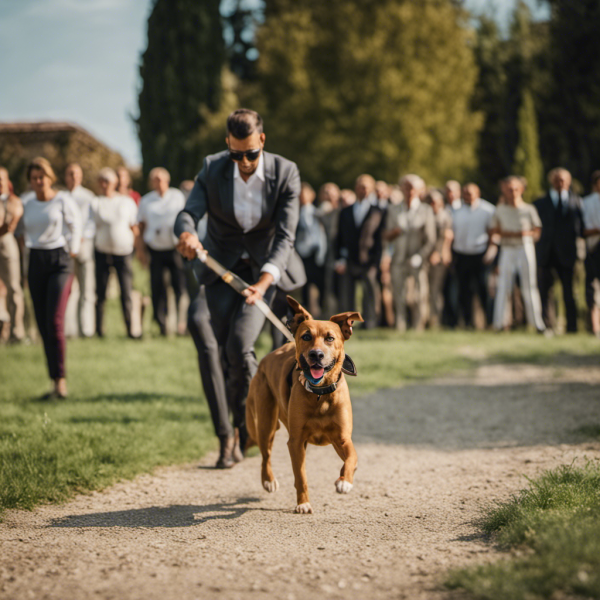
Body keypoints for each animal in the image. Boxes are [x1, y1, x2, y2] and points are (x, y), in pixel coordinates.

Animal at [246, 298, 364, 512]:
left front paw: (345, 481)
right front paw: (303, 503)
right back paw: (268, 480)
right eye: (306, 336)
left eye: (330, 338)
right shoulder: (295, 441)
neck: (320, 394)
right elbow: (301, 476)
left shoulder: (342, 438)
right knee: (265, 454)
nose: (316, 355)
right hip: (266, 423)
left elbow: (352, 457)